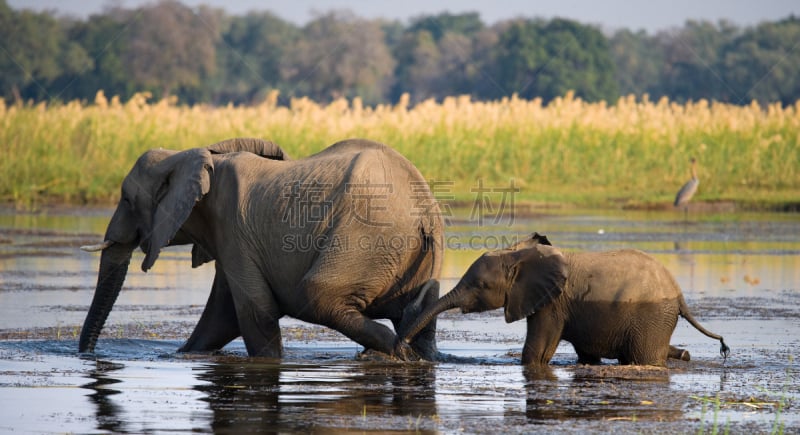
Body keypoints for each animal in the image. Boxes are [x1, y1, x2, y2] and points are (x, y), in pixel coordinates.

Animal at [79, 138, 444, 360]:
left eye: (127, 199)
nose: (88, 355)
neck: (185, 155)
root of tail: (425, 210)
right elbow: (221, 315)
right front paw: (183, 355)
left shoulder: (233, 228)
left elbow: (255, 310)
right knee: (417, 321)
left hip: (364, 239)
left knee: (318, 296)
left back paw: (398, 354)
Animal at [396, 233, 728, 366]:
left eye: (480, 285)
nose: (403, 348)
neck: (518, 256)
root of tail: (680, 294)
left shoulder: (551, 305)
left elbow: (537, 353)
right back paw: (684, 354)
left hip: (651, 316)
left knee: (643, 358)